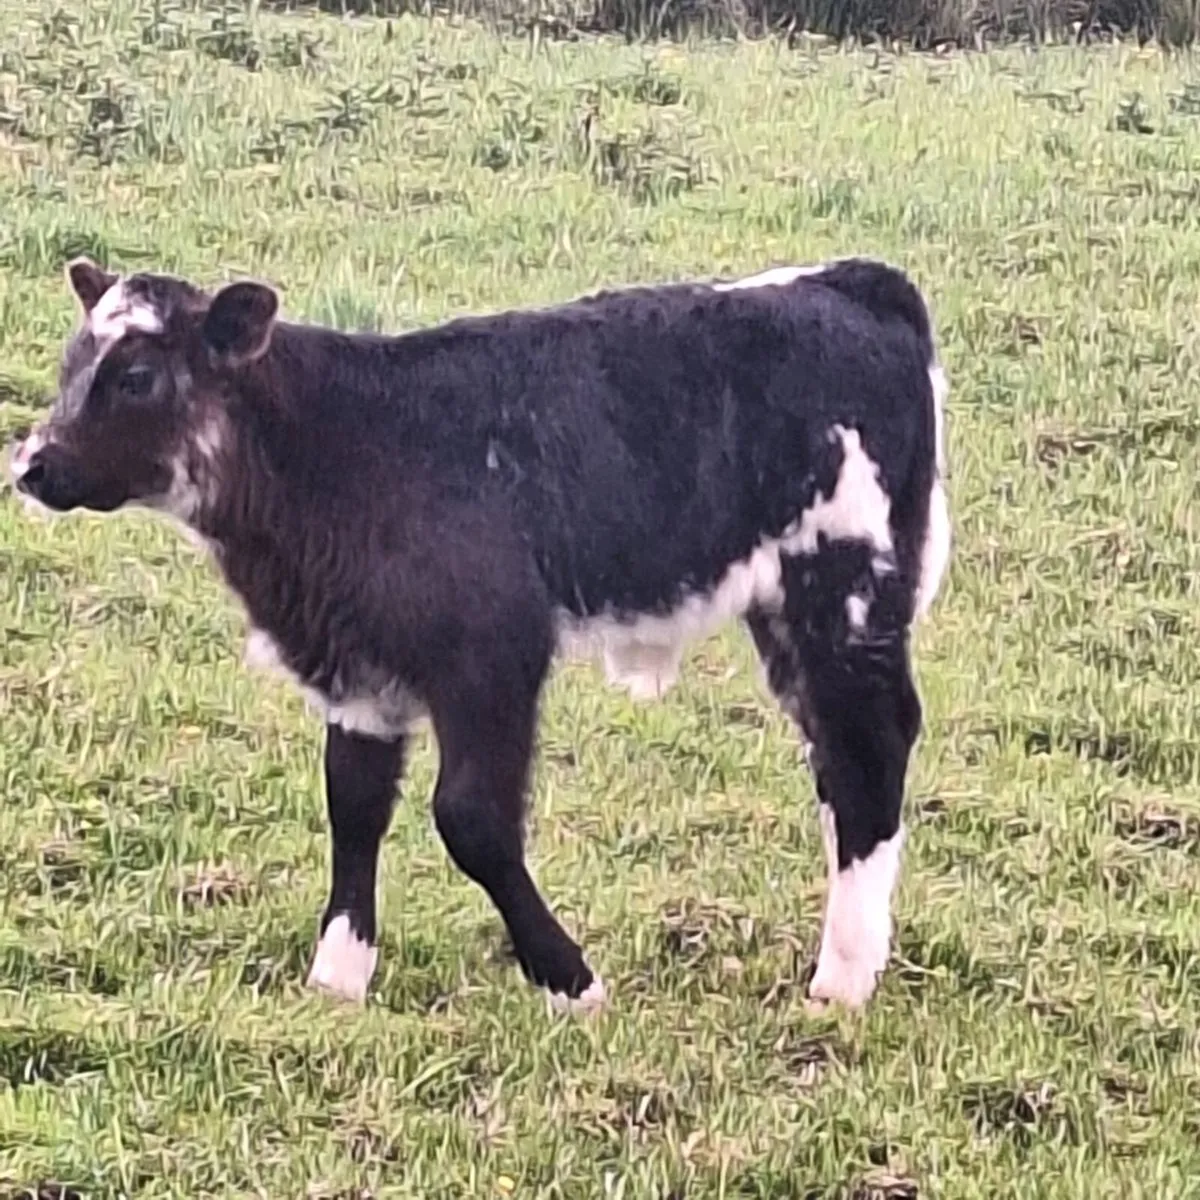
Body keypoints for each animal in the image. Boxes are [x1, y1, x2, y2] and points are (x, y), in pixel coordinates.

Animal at [8, 255, 950, 1014]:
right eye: (71, 364)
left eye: (136, 375)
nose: (31, 463)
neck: (342, 446)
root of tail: (849, 284)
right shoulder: (360, 672)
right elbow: (352, 806)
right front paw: (338, 976)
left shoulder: (490, 657)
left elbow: (471, 820)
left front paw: (570, 978)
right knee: (837, 758)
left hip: (844, 586)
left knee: (869, 745)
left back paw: (841, 978)